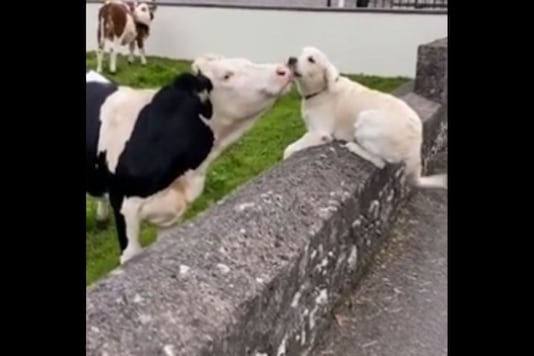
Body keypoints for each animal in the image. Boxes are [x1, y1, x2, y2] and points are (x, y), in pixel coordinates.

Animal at [284, 48, 448, 189]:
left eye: (311, 59)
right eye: (301, 53)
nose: (291, 59)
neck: (321, 90)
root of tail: (416, 145)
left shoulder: (320, 133)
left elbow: (289, 149)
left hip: (365, 119)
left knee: (380, 162)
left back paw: (354, 146)